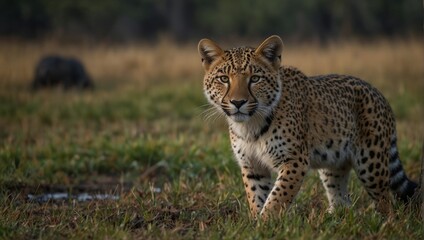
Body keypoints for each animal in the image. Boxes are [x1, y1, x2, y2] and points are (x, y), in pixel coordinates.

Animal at [198, 35, 418, 219]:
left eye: (255, 79)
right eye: (224, 79)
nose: (238, 102)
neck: (251, 126)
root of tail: (379, 93)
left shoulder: (294, 160)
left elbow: (277, 198)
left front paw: (266, 223)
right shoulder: (252, 166)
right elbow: (256, 197)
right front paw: (255, 222)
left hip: (370, 163)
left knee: (385, 200)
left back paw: (384, 222)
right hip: (334, 165)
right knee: (341, 199)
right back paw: (333, 220)